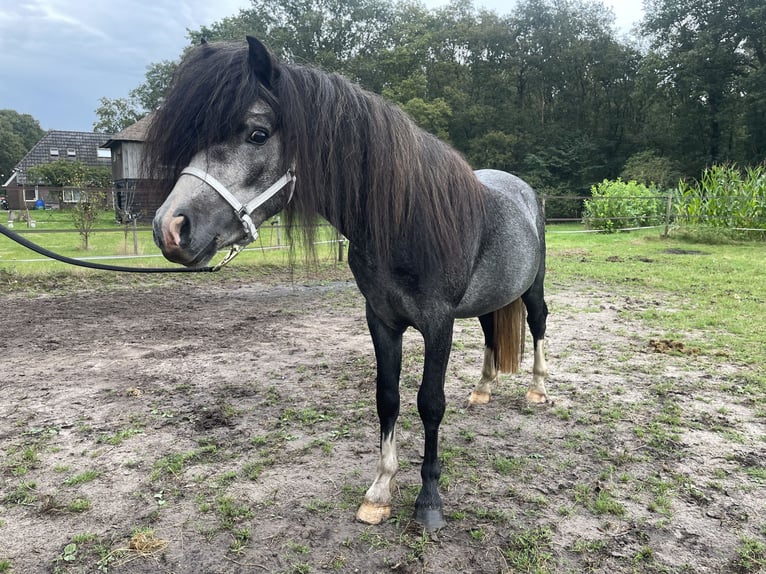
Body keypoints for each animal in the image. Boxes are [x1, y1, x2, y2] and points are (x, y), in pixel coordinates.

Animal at [146, 35, 552, 532]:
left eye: (257, 133)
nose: (170, 228)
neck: (404, 219)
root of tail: (524, 191)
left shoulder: (438, 324)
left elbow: (430, 402)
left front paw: (428, 500)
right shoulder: (381, 319)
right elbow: (387, 398)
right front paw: (379, 492)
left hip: (532, 288)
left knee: (537, 324)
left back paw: (538, 389)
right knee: (493, 331)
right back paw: (483, 389)